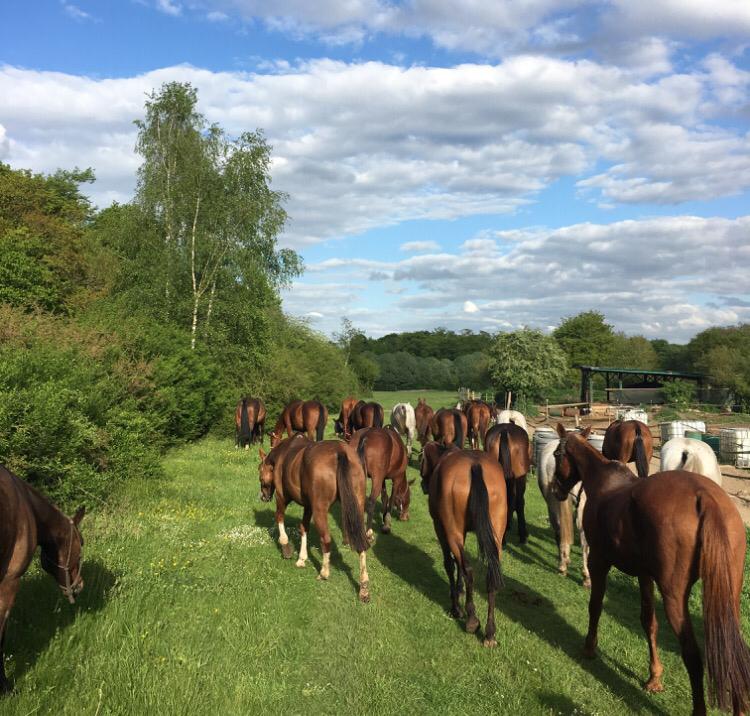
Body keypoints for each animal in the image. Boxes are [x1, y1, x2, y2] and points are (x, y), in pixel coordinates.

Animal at [262, 436, 374, 604]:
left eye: (260, 470)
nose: (263, 496)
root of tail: (340, 451)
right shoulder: (308, 506)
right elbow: (303, 527)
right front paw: (302, 558)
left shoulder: (281, 497)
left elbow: (280, 518)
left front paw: (286, 546)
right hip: (357, 506)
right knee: (361, 542)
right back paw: (364, 587)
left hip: (319, 509)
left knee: (326, 539)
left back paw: (324, 572)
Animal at [424, 450, 506, 648]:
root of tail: (474, 464)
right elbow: (459, 564)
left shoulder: (441, 528)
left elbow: (451, 565)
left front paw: (456, 606)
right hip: (496, 534)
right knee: (490, 575)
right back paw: (490, 633)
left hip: (452, 532)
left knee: (467, 569)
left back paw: (471, 619)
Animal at [552, 426, 750, 716]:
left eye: (557, 454)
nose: (556, 489)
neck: (603, 481)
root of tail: (704, 497)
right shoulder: (645, 575)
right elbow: (649, 622)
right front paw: (654, 676)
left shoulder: (599, 561)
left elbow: (595, 605)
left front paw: (589, 647)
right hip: (728, 597)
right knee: (733, 652)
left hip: (675, 598)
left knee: (692, 655)